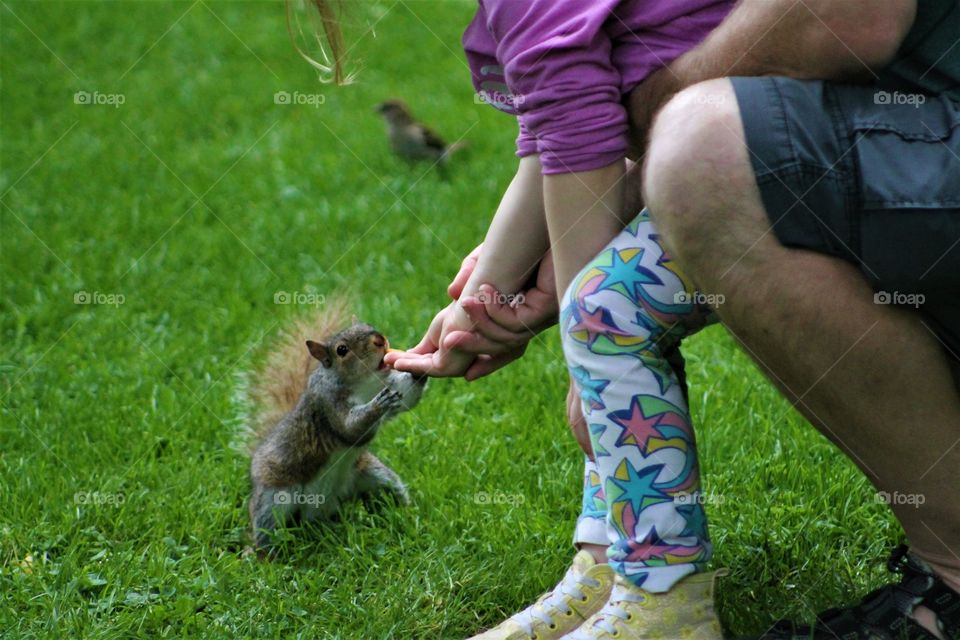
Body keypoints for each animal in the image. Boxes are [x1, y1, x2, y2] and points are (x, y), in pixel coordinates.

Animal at [242, 301, 426, 554]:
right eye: (342, 350)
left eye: (368, 325)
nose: (380, 340)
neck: (364, 385)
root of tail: (318, 513)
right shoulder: (327, 404)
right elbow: (349, 427)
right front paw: (377, 405)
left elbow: (407, 398)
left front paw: (418, 368)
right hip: (273, 500)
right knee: (266, 529)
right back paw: (266, 555)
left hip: (374, 478)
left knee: (390, 492)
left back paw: (406, 514)